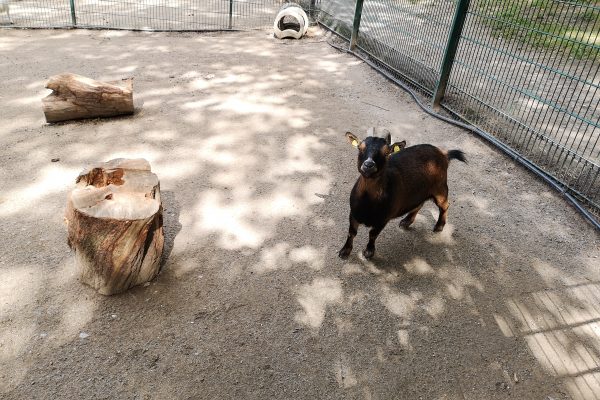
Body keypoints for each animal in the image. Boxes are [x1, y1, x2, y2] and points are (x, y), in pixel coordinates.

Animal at [340, 130, 466, 260]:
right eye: (360, 148)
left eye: (387, 153)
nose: (368, 165)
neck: (367, 202)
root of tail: (444, 153)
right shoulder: (353, 213)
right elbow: (351, 232)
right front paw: (345, 251)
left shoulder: (383, 219)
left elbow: (372, 234)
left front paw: (369, 252)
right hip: (419, 191)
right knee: (419, 204)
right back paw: (406, 221)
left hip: (440, 188)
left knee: (445, 205)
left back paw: (439, 226)